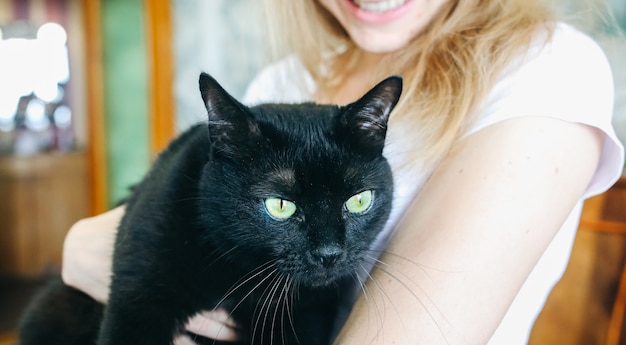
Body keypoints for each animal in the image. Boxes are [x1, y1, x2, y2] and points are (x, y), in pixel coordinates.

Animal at [19, 72, 402, 344]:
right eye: (280, 205)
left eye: (359, 200)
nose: (329, 253)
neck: (239, 275)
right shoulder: (138, 298)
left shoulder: (308, 317)